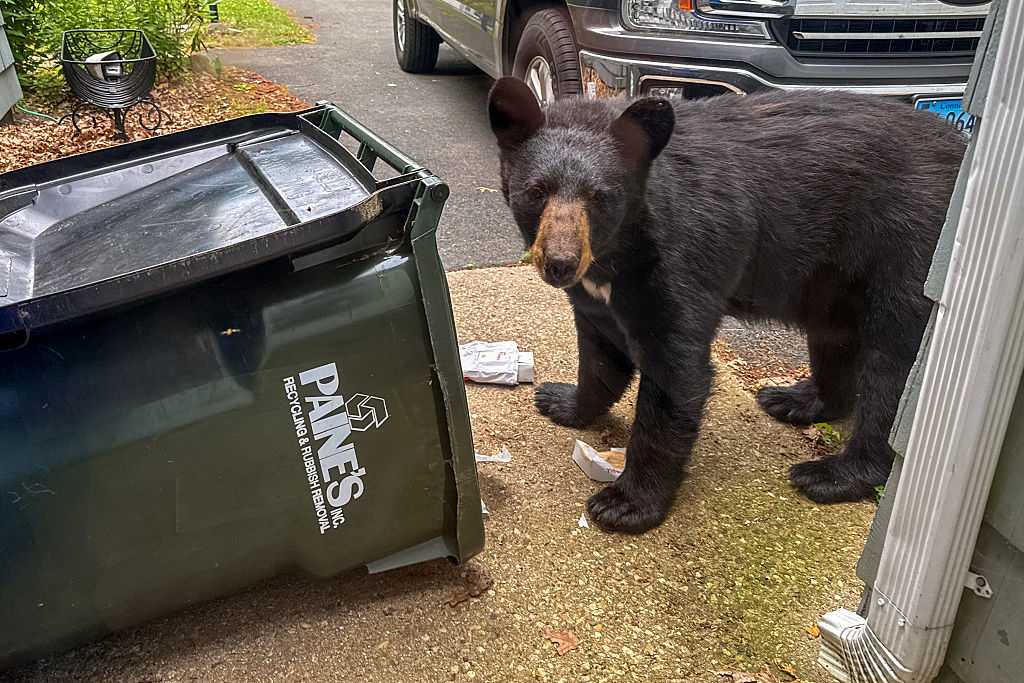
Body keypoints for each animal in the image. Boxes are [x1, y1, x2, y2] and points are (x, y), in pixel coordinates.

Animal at [487, 77, 965, 534]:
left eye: (600, 196)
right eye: (537, 191)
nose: (561, 263)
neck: (617, 253)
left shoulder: (682, 257)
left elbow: (676, 372)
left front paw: (626, 504)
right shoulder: (598, 294)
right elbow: (600, 352)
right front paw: (562, 401)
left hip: (909, 247)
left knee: (893, 374)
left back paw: (832, 474)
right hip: (832, 280)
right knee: (835, 338)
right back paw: (796, 399)